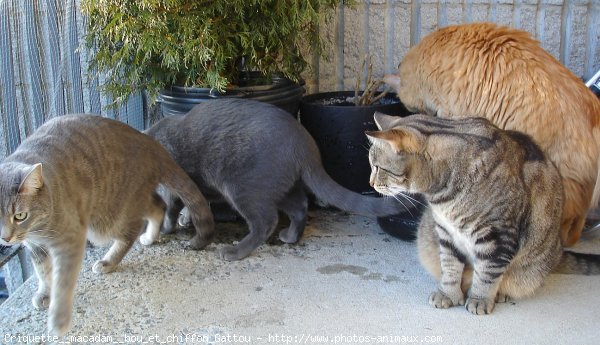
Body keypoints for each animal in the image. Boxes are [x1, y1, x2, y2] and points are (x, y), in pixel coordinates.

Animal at [0, 114, 214, 334]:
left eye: (19, 215)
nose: (5, 238)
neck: (38, 228)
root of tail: (150, 142)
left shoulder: (70, 239)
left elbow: (63, 280)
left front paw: (58, 317)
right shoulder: (36, 247)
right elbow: (43, 273)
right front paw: (45, 293)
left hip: (108, 216)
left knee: (132, 230)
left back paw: (109, 261)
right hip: (132, 199)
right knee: (158, 205)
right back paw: (150, 236)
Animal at [146, 98, 406, 260]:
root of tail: (304, 144)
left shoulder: (173, 188)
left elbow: (171, 208)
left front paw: (169, 228)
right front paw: (177, 223)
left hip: (242, 187)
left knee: (266, 221)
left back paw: (236, 252)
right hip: (279, 188)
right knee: (300, 206)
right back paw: (290, 237)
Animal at [366, 112, 600, 314]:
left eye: (378, 167)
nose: (370, 183)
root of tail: (558, 251)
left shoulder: (498, 236)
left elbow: (487, 273)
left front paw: (479, 299)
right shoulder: (446, 233)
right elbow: (450, 267)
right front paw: (448, 294)